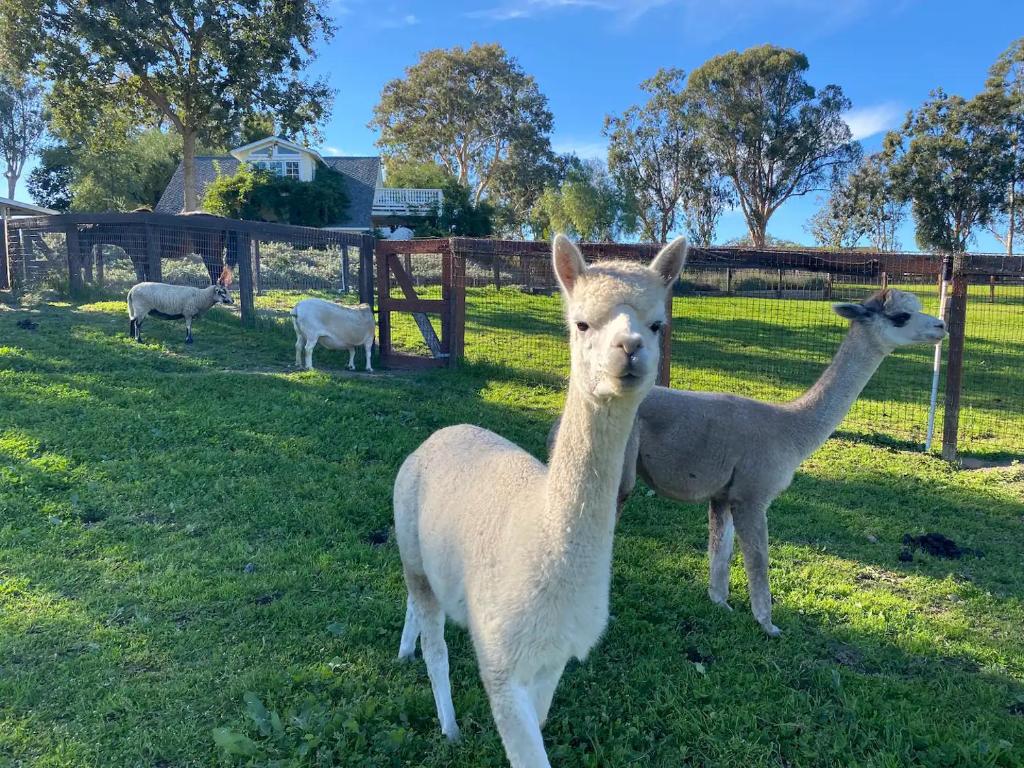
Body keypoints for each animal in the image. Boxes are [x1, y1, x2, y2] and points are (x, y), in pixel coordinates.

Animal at [393, 235, 688, 767]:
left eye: (658, 324)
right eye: (582, 322)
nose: (630, 348)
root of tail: (440, 434)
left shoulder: (554, 657)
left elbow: (543, 717)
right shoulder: (501, 659)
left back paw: (406, 650)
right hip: (410, 542)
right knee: (435, 643)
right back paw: (448, 726)